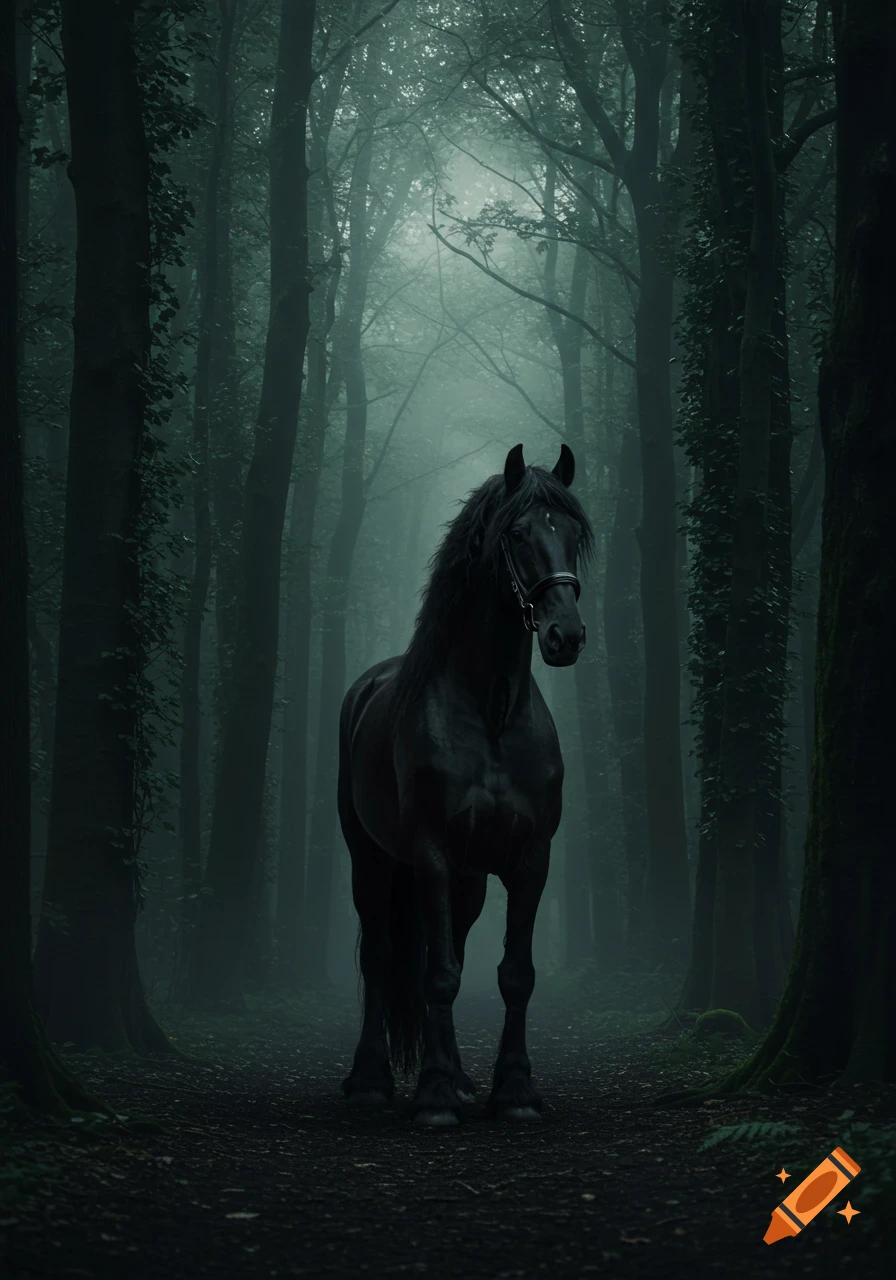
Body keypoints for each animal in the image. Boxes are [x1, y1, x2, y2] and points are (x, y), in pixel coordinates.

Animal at [338, 442, 593, 1125]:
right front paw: (431, 1096)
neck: (492, 713)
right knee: (382, 956)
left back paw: (456, 1078)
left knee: (439, 947)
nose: (565, 635)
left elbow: (513, 974)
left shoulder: (531, 858)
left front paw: (514, 1090)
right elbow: (439, 975)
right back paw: (372, 1080)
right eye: (517, 534)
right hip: (372, 859)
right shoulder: (430, 852)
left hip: (470, 879)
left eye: (574, 536)